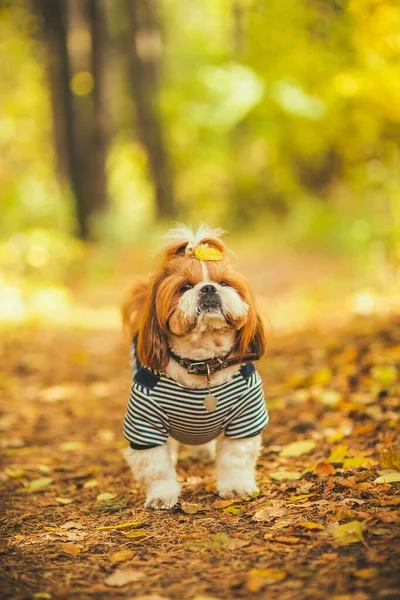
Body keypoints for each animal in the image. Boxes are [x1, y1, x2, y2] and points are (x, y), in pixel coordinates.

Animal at [120, 227, 268, 508]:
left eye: (225, 283)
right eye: (185, 287)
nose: (208, 288)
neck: (203, 365)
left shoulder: (245, 417)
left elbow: (235, 459)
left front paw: (236, 487)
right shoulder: (145, 423)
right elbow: (158, 467)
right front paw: (161, 494)